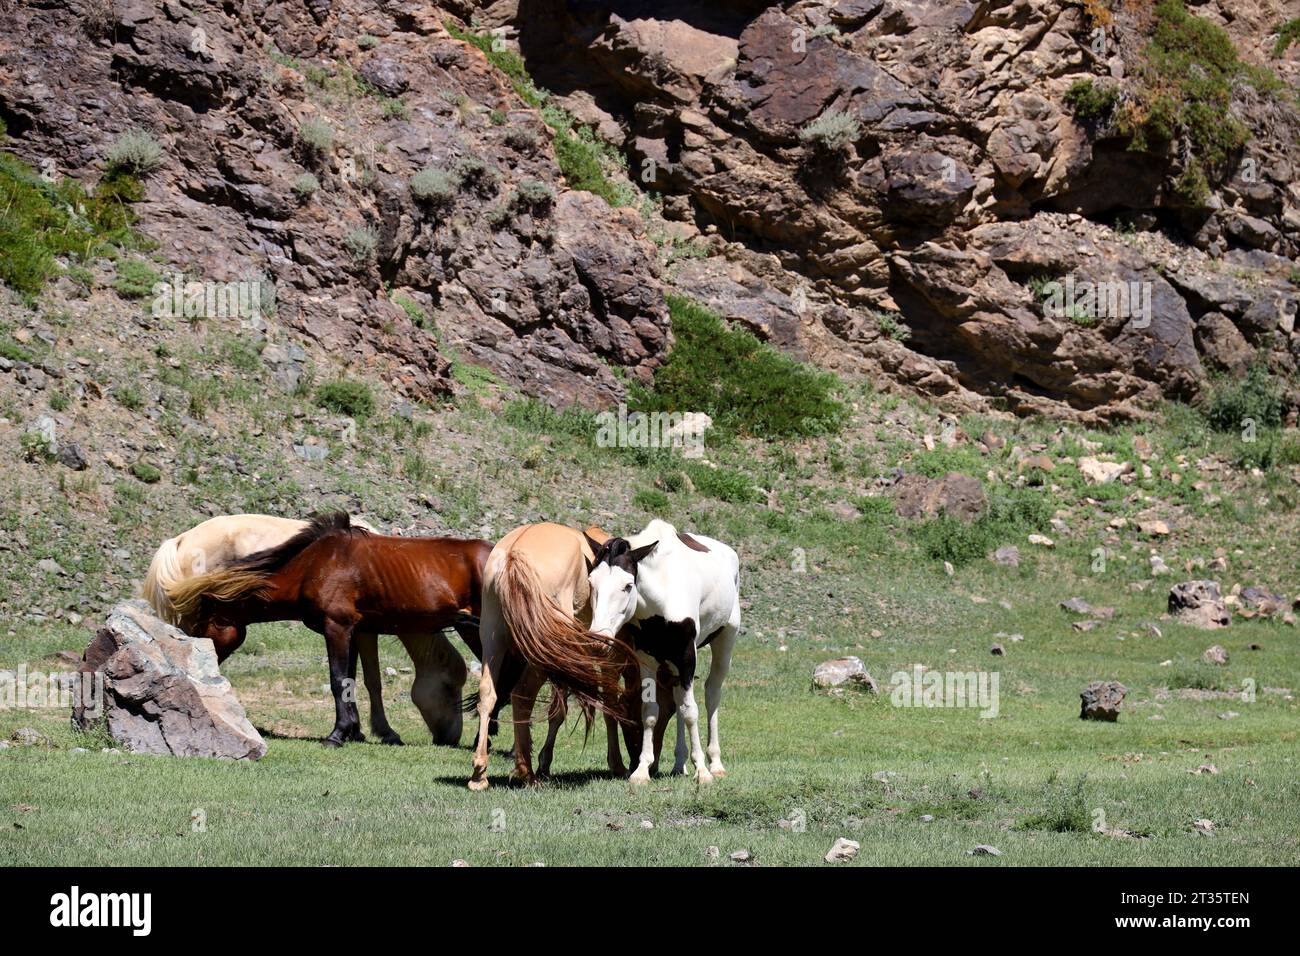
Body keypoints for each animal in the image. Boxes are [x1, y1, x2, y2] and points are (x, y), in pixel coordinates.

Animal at [165, 512, 493, 747]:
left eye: (201, 625)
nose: (193, 668)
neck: (313, 565)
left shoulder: (337, 628)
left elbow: (339, 681)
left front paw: (337, 735)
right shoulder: (351, 631)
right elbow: (351, 680)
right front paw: (352, 731)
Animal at [468, 522, 633, 791]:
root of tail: (513, 554)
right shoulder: (604, 658)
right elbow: (607, 705)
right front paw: (617, 764)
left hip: (494, 639)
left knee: (488, 696)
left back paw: (480, 773)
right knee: (523, 695)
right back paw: (526, 772)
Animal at [586, 518, 741, 785]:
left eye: (628, 585)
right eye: (591, 582)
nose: (598, 640)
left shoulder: (687, 657)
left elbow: (690, 712)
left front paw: (702, 770)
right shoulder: (647, 660)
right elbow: (650, 712)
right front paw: (641, 770)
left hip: (726, 639)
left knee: (711, 694)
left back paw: (716, 764)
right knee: (678, 700)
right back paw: (679, 764)